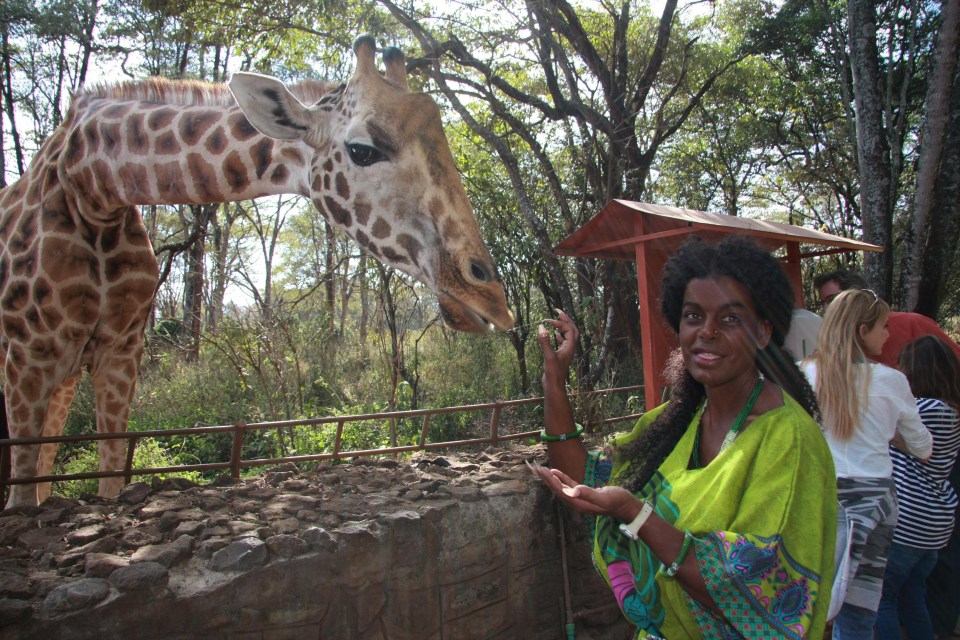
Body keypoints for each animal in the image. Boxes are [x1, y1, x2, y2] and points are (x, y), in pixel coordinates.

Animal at [0, 36, 516, 510]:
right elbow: (23, 495)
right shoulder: (27, 358)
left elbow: (108, 478)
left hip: (67, 376)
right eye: (362, 150)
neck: (92, 184)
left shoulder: (120, 352)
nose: (493, 298)